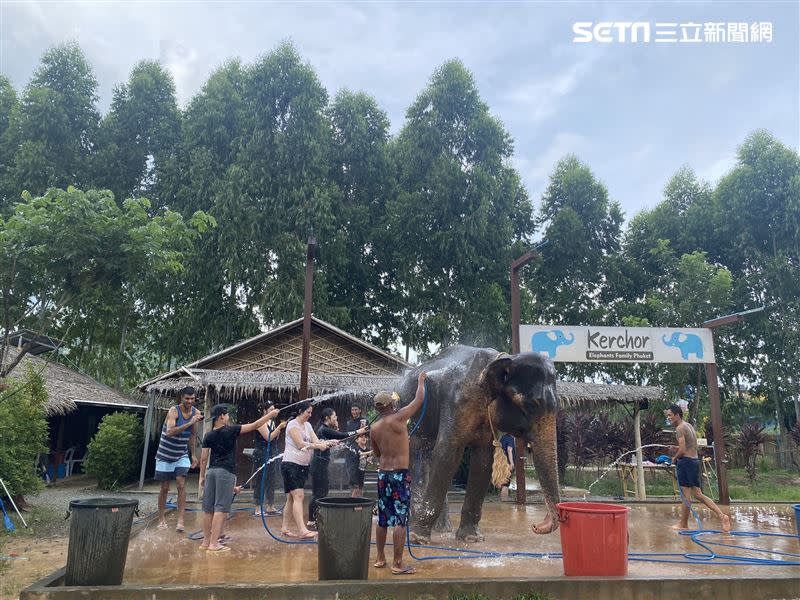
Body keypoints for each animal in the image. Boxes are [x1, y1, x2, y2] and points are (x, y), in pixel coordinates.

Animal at [396, 342, 564, 544]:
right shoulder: (456, 402)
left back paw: (442, 529)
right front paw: (418, 538)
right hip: (407, 409)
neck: (505, 358)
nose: (535, 526)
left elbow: (483, 460)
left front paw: (471, 539)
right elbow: (447, 455)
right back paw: (414, 531)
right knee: (418, 451)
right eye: (531, 405)